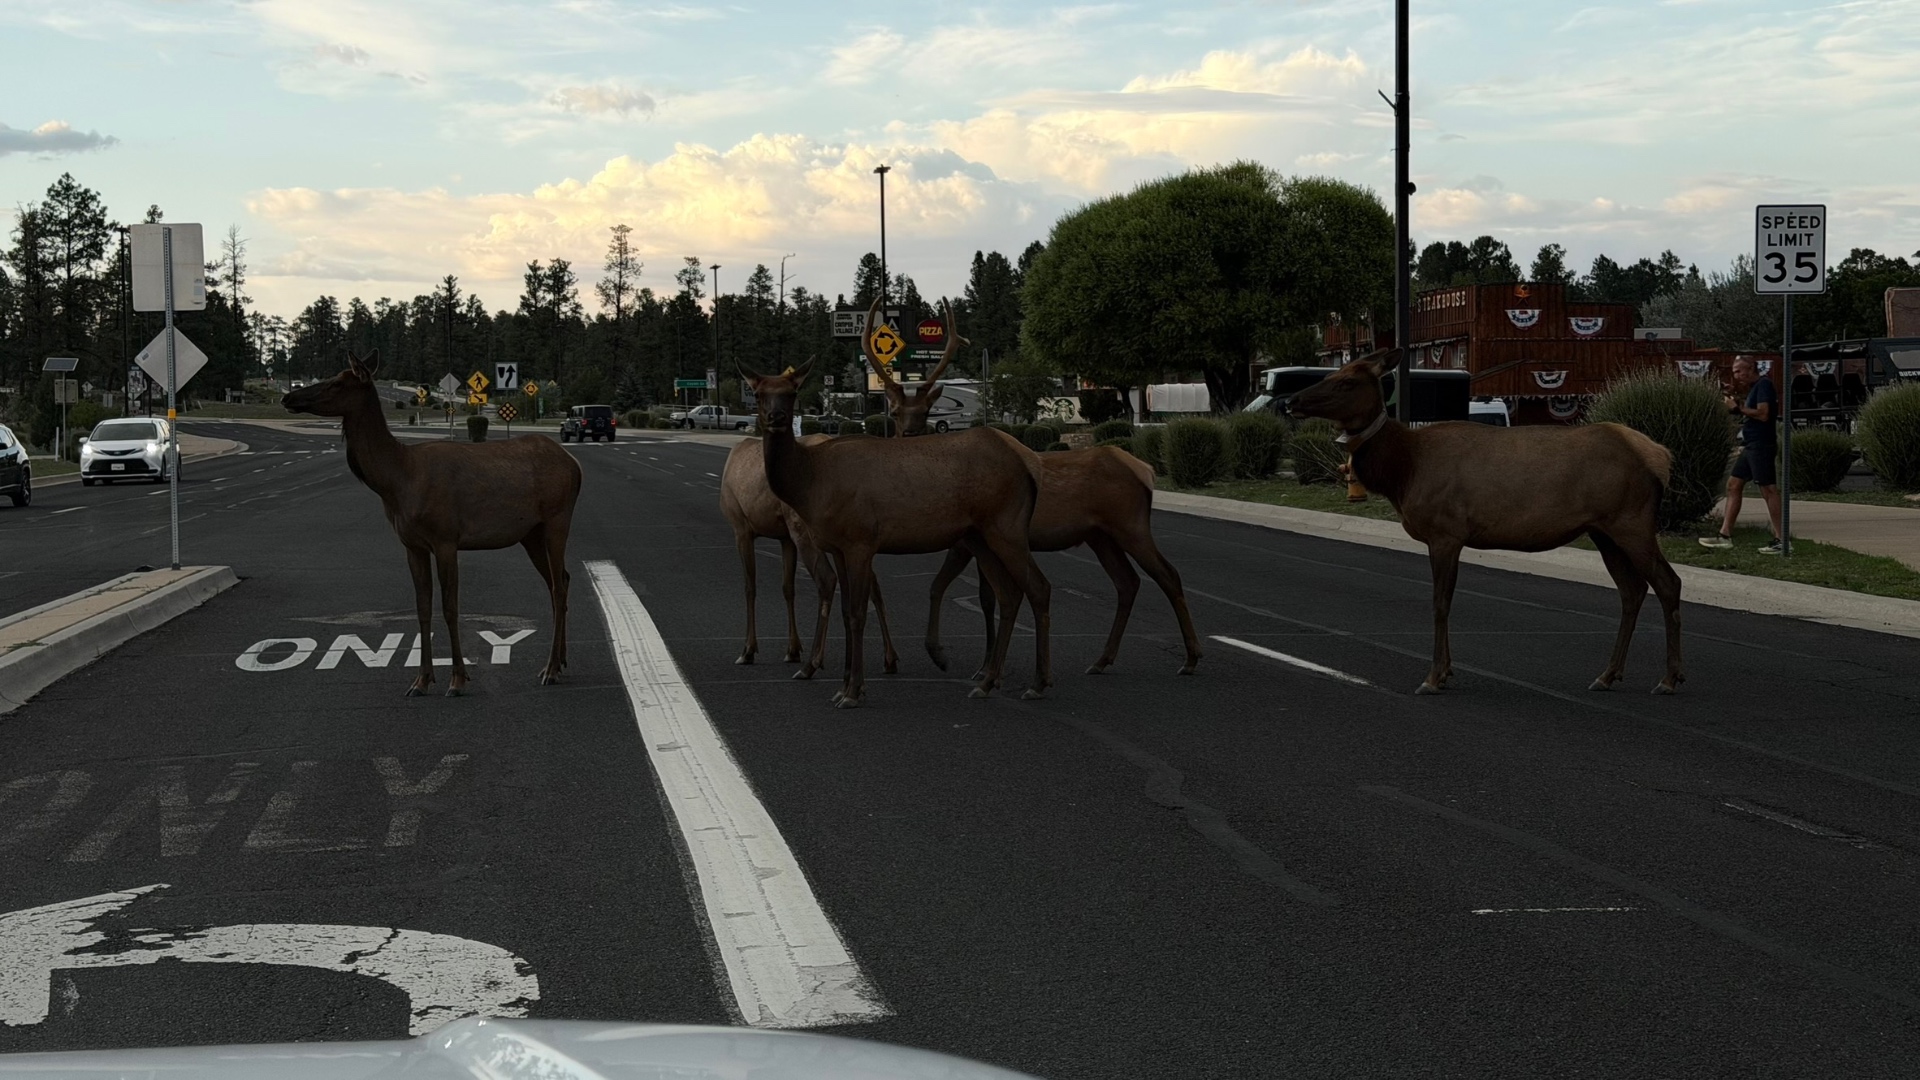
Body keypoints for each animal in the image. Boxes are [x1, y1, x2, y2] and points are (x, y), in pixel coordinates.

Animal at [283, 349, 580, 696]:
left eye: (337, 382)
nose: (288, 396)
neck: (397, 479)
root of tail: (575, 465)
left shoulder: (446, 537)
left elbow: (450, 607)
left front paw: (458, 679)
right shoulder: (413, 544)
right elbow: (422, 607)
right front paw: (421, 680)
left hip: (558, 518)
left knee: (558, 587)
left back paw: (551, 668)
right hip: (530, 533)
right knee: (561, 580)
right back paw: (560, 661)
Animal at [719, 433, 899, 679]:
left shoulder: (741, 527)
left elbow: (749, 587)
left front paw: (748, 650)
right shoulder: (785, 538)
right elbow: (788, 588)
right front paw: (793, 649)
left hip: (806, 530)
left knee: (827, 578)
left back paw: (813, 664)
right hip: (848, 537)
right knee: (872, 582)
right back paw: (889, 658)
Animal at [743, 356, 1052, 708]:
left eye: (792, 392)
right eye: (758, 394)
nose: (777, 417)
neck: (811, 484)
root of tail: (1028, 468)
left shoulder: (860, 540)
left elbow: (856, 613)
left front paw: (853, 691)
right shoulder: (838, 546)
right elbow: (845, 609)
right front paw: (845, 686)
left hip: (1007, 527)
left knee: (1039, 588)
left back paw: (1037, 683)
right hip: (981, 537)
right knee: (1009, 595)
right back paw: (987, 682)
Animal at [862, 299, 1201, 677]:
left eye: (925, 411)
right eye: (895, 411)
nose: (908, 434)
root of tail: (1147, 470)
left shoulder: (966, 540)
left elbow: (951, 589)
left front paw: (956, 658)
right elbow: (979, 594)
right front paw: (984, 664)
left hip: (1131, 524)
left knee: (1168, 575)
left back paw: (1190, 658)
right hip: (1101, 536)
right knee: (1128, 582)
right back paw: (1102, 659)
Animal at [1287, 351, 1683, 695]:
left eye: (1347, 381)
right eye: (1333, 373)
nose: (1291, 400)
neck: (1403, 472)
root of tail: (1661, 457)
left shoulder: (1445, 532)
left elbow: (1440, 603)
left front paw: (1433, 677)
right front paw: (1446, 672)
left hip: (1631, 522)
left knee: (1668, 582)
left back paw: (1669, 678)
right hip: (1604, 532)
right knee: (1632, 590)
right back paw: (1608, 674)